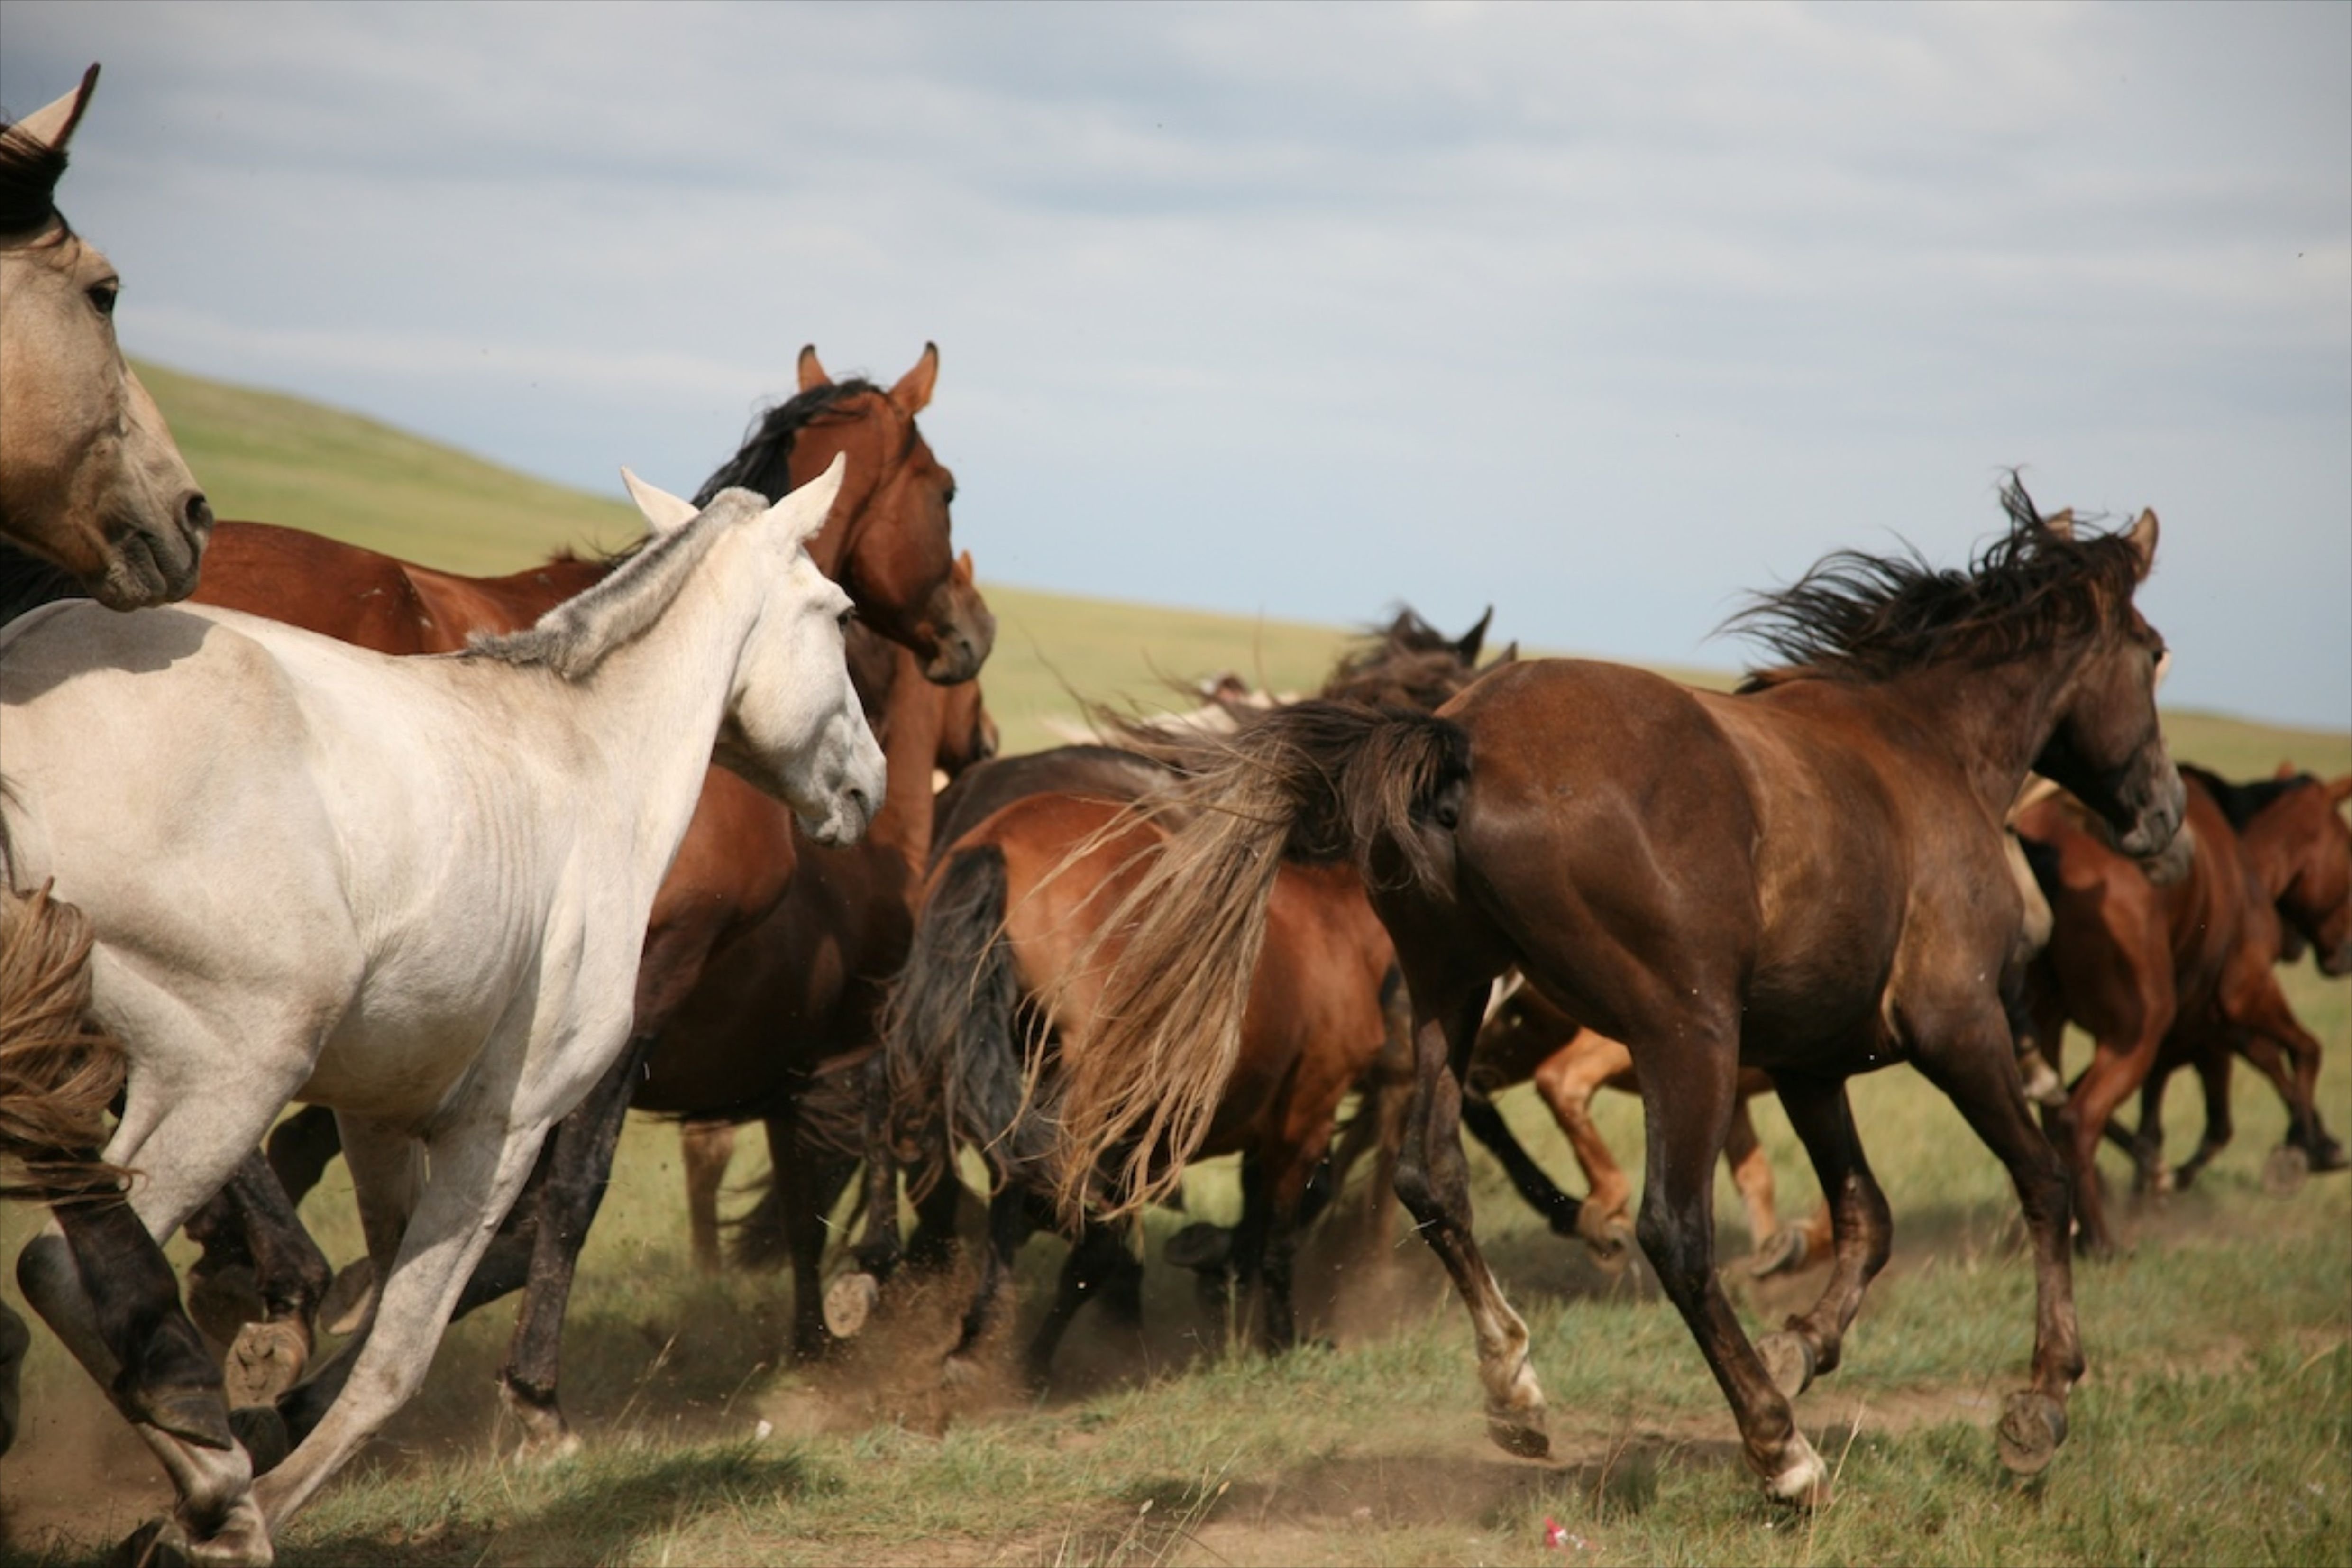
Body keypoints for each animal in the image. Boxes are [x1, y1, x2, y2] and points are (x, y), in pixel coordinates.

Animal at [2, 460, 884, 1561]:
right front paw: (254, 1492)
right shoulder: (502, 1130)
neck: (590, 761)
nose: (869, 786)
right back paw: (219, 1488)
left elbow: (385, 1286)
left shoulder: (379, 1114)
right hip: (222, 1076)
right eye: (840, 613)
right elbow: (402, 1347)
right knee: (66, 1270)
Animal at [1058, 482, 2173, 1504]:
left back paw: (1516, 1390)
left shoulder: (1813, 1062)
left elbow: (1868, 1218)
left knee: (1431, 1176)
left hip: (1450, 989)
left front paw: (1798, 1348)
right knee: (1671, 1230)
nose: (2159, 816)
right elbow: (2040, 1182)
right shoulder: (1957, 1027)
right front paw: (2039, 1403)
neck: (1923, 747)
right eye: (2154, 650)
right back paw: (1779, 1454)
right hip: (1684, 1031)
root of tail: (1462, 744)